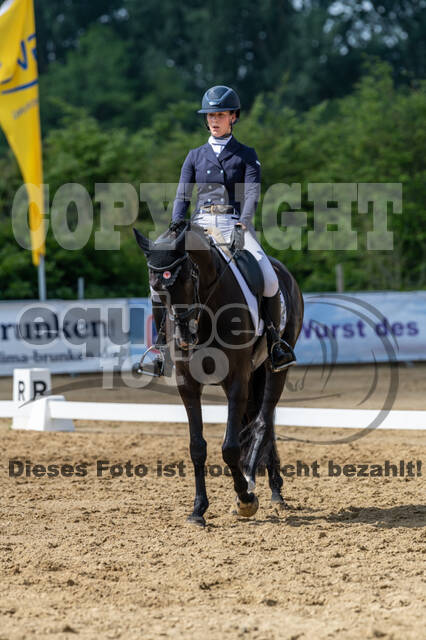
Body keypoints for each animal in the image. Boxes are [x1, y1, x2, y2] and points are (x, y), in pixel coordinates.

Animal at [134, 222, 304, 526]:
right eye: (156, 290)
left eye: (187, 279)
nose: (184, 339)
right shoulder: (188, 384)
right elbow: (197, 447)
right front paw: (198, 510)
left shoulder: (236, 379)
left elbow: (229, 447)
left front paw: (245, 499)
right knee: (262, 421)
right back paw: (271, 488)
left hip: (274, 368)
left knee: (263, 422)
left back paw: (256, 484)